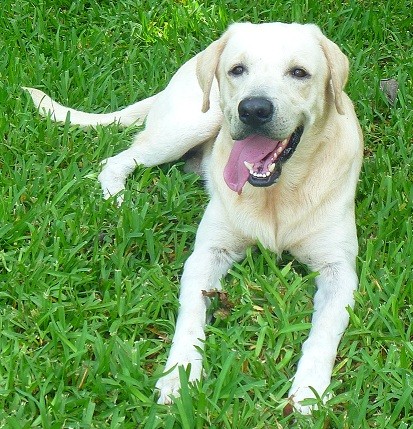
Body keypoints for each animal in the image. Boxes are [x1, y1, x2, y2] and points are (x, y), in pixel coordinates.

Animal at [25, 21, 360, 412]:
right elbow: (190, 315)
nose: (253, 109)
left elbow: (324, 334)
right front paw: (180, 375)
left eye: (299, 73)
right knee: (117, 160)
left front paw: (309, 391)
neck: (276, 195)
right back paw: (117, 199)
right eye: (237, 70)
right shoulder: (207, 255)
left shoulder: (338, 270)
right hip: (195, 120)